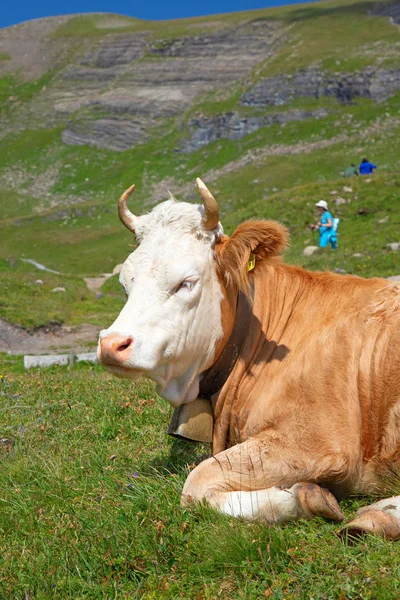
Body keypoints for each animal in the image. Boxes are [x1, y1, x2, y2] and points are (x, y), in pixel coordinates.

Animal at [97, 179, 400, 540]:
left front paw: (303, 498)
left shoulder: (321, 442)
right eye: (125, 283)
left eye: (186, 282)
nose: (111, 344)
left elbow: (196, 483)